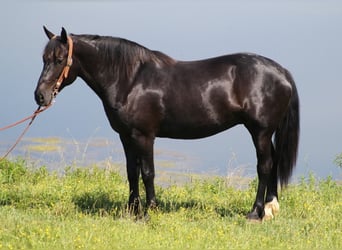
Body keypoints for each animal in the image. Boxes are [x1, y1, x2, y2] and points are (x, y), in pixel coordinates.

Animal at [34, 27, 300, 221]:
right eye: (44, 58)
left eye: (59, 59)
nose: (40, 96)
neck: (130, 80)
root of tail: (281, 71)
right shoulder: (126, 136)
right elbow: (131, 172)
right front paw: (132, 211)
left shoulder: (144, 136)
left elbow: (148, 173)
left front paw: (150, 211)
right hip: (265, 133)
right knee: (273, 162)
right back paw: (270, 208)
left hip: (260, 131)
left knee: (264, 166)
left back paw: (255, 212)